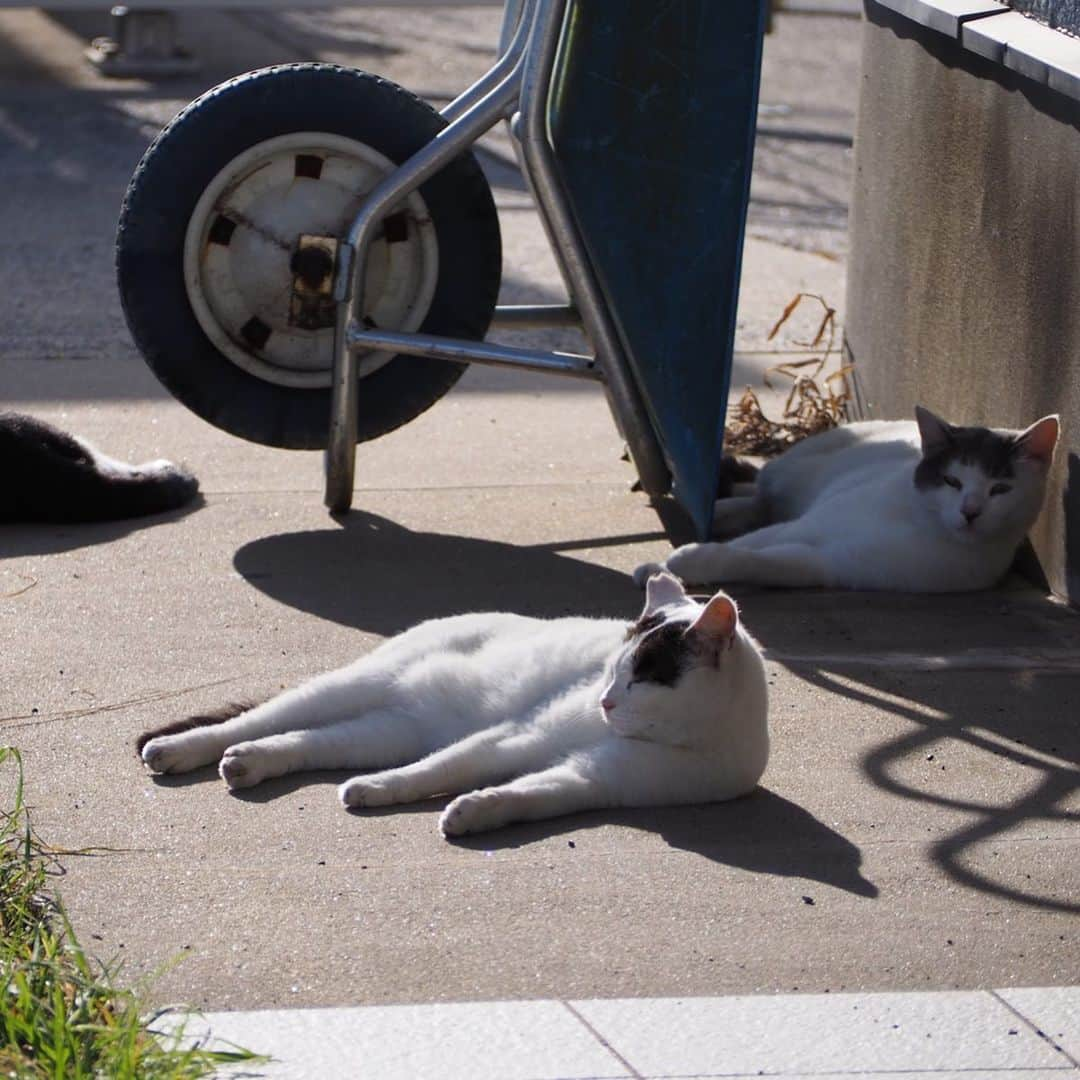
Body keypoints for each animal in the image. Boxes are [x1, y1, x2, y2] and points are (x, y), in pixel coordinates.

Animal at [139, 574, 773, 833]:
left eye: (641, 677)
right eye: (612, 671)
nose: (604, 702)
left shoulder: (592, 780)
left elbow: (528, 795)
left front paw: (476, 813)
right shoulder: (517, 737)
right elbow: (441, 770)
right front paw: (390, 791)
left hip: (385, 730)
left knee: (306, 743)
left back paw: (252, 763)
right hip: (352, 689)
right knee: (252, 722)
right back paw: (177, 749)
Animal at [635, 406, 1058, 591]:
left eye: (1000, 490)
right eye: (951, 481)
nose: (970, 512)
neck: (922, 526)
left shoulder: (828, 564)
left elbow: (759, 560)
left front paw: (679, 567)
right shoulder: (809, 524)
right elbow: (749, 543)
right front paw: (669, 564)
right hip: (796, 469)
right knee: (760, 497)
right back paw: (721, 509)